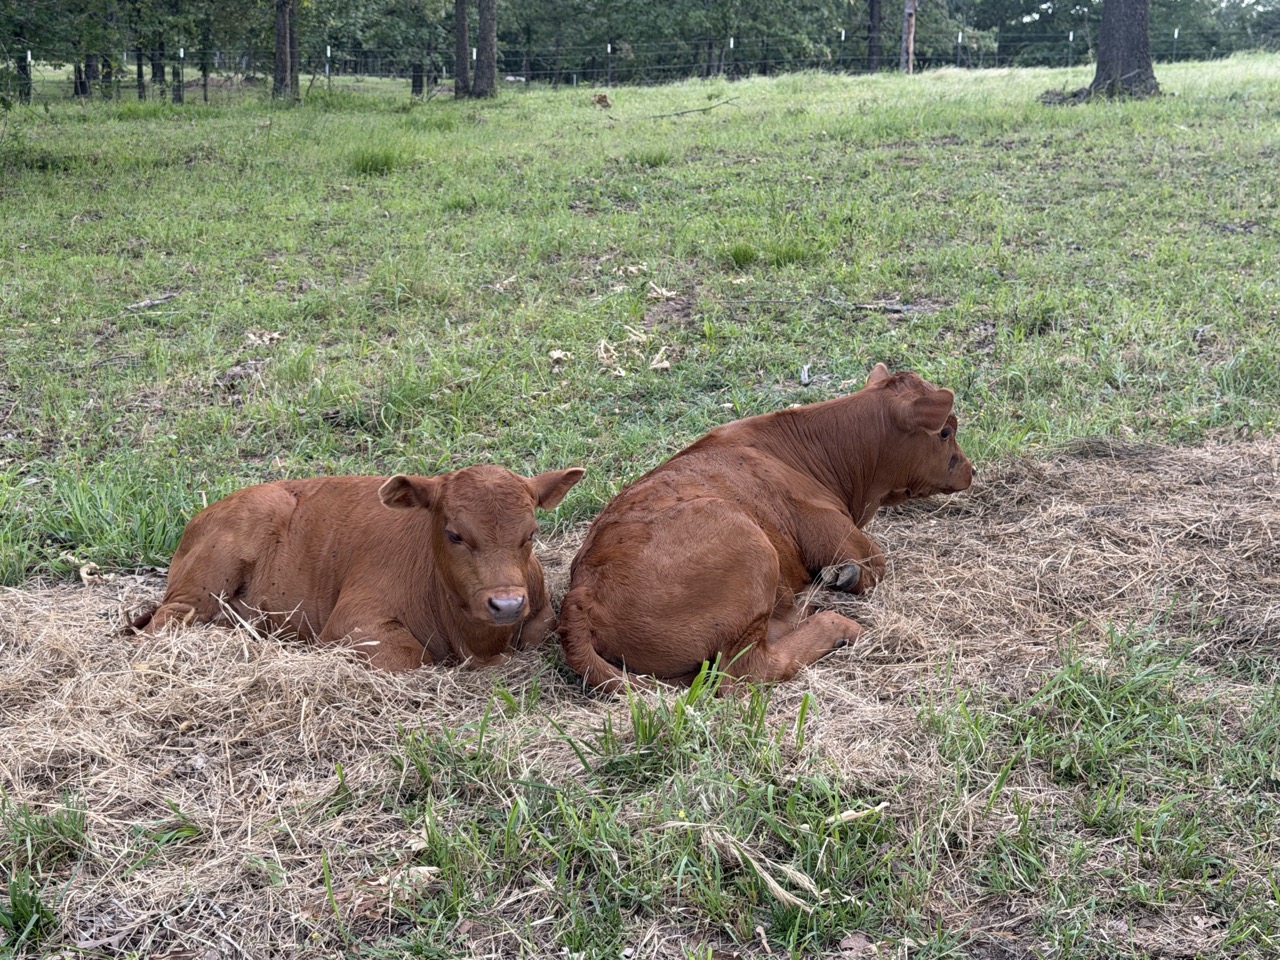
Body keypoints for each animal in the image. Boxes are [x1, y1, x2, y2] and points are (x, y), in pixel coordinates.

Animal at [132, 465, 585, 671]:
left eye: (531, 532)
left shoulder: (540, 615)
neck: (476, 641)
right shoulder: (352, 624)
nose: (506, 604)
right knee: (168, 621)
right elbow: (411, 658)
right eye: (454, 534)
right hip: (204, 580)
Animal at [558, 364, 973, 691]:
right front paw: (848, 578)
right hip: (749, 546)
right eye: (945, 432)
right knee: (746, 671)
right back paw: (836, 624)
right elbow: (876, 565)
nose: (970, 470)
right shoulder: (840, 536)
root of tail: (582, 590)